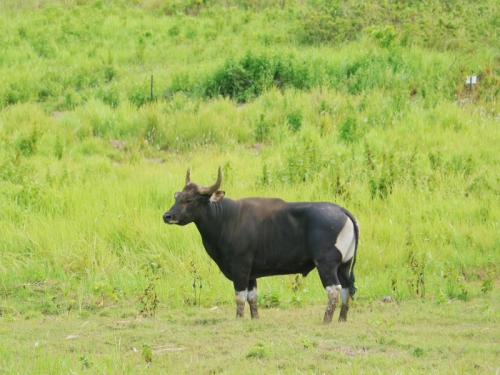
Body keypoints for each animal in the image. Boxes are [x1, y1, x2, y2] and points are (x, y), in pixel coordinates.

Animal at [164, 167, 360, 324]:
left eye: (189, 199)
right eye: (177, 197)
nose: (167, 216)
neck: (226, 218)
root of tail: (343, 211)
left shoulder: (240, 266)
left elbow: (240, 297)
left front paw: (239, 319)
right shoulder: (251, 273)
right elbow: (252, 297)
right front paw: (255, 318)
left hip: (326, 264)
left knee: (334, 290)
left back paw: (326, 320)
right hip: (344, 265)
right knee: (346, 289)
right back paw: (342, 319)